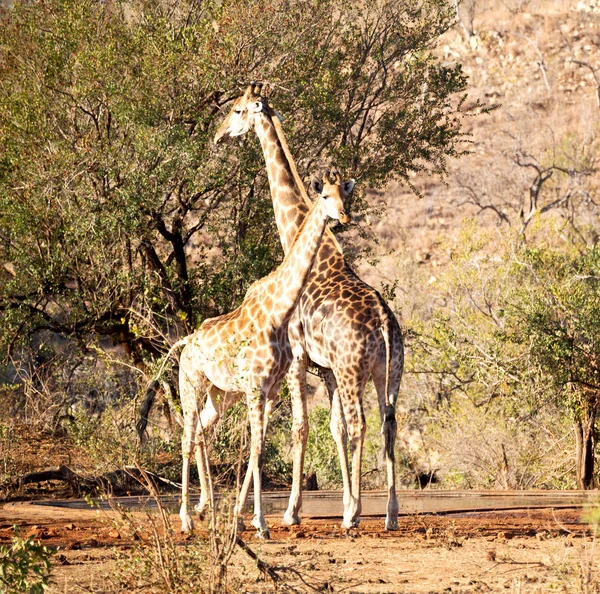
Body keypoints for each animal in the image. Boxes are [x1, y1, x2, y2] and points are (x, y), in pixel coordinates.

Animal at [175, 168, 352, 536]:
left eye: (346, 194)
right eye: (325, 196)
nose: (343, 217)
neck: (278, 312)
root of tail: (186, 343)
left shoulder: (268, 389)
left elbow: (258, 449)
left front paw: (253, 519)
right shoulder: (256, 387)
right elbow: (257, 447)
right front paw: (256, 521)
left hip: (219, 393)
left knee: (199, 433)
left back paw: (205, 509)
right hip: (191, 384)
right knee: (186, 436)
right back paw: (186, 518)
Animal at [213, 82, 406, 528]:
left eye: (237, 110)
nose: (218, 135)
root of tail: (385, 323)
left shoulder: (300, 356)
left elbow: (301, 427)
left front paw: (292, 511)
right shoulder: (328, 369)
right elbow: (333, 428)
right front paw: (342, 499)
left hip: (355, 370)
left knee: (362, 424)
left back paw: (354, 516)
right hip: (390, 371)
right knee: (388, 423)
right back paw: (389, 513)